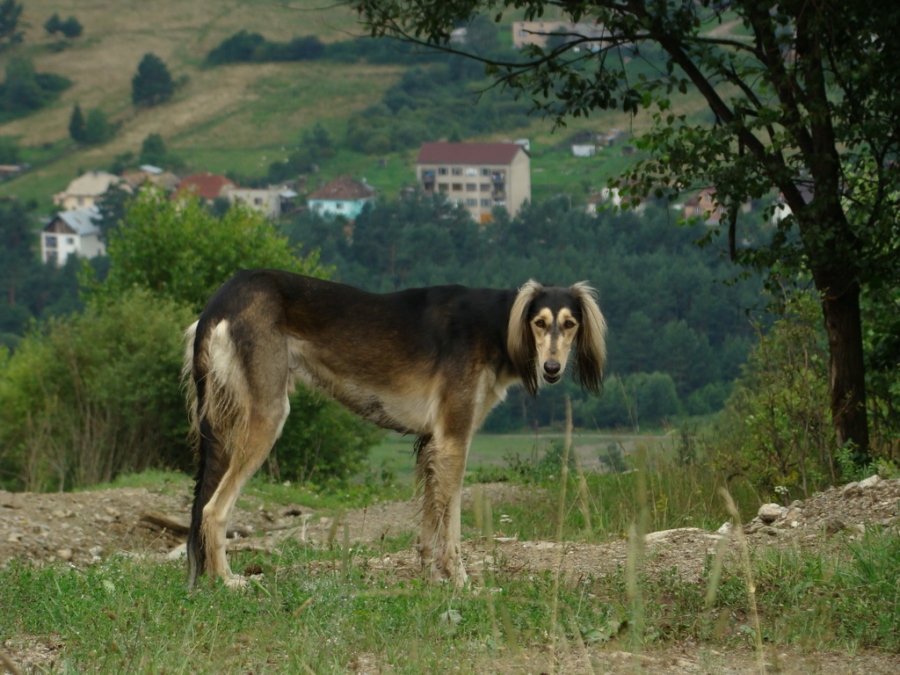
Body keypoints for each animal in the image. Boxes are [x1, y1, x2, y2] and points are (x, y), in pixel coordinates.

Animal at [183, 270, 604, 588]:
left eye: (570, 324)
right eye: (539, 323)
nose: (552, 368)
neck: (498, 326)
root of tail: (222, 296)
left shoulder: (433, 442)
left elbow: (430, 525)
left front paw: (432, 578)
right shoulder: (454, 440)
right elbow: (451, 525)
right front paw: (461, 581)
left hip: (221, 426)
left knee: (203, 503)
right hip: (266, 414)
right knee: (213, 509)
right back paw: (226, 581)